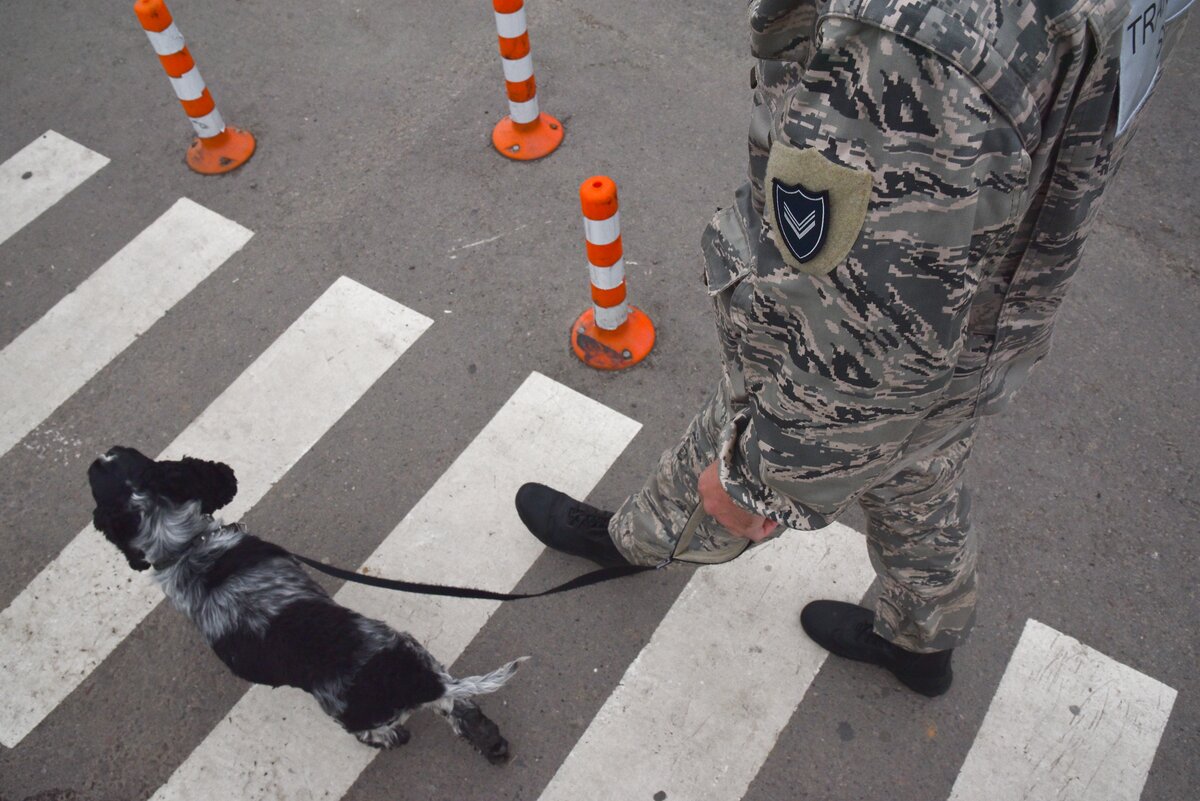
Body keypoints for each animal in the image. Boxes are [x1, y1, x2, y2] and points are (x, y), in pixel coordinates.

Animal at [87, 448, 528, 762]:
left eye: (121, 455)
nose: (100, 455)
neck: (185, 547)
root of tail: (416, 681)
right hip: (418, 653)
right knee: (461, 712)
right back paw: (492, 746)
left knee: (391, 730)